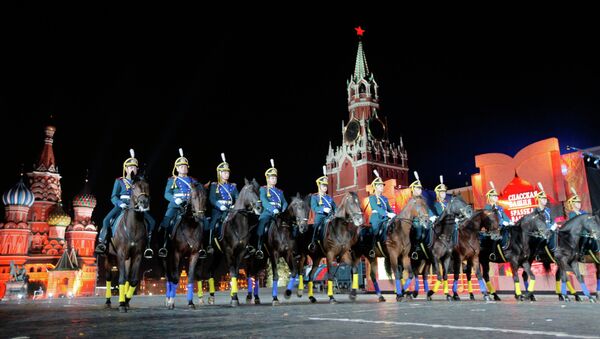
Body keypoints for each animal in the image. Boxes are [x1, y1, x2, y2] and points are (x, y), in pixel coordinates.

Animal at [103, 175, 150, 314]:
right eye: (133, 187)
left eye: (147, 186)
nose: (144, 202)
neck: (133, 225)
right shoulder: (121, 254)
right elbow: (121, 279)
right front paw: (121, 304)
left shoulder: (137, 255)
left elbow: (133, 280)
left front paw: (126, 300)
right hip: (108, 256)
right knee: (108, 277)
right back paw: (108, 302)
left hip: (129, 258)